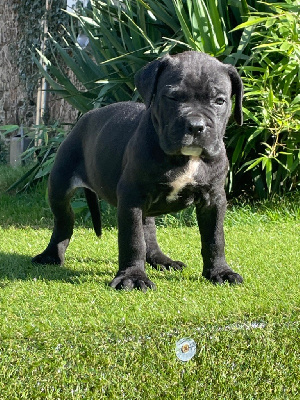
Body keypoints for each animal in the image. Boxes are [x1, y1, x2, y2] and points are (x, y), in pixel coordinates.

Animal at [32, 52, 244, 290]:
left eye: (220, 101)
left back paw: (161, 260)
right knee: (64, 220)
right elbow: (132, 239)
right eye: (172, 97)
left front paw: (220, 271)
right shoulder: (132, 197)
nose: (196, 126)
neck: (185, 158)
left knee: (148, 231)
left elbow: (215, 237)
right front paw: (133, 277)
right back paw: (51, 255)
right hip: (60, 185)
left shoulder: (213, 199)